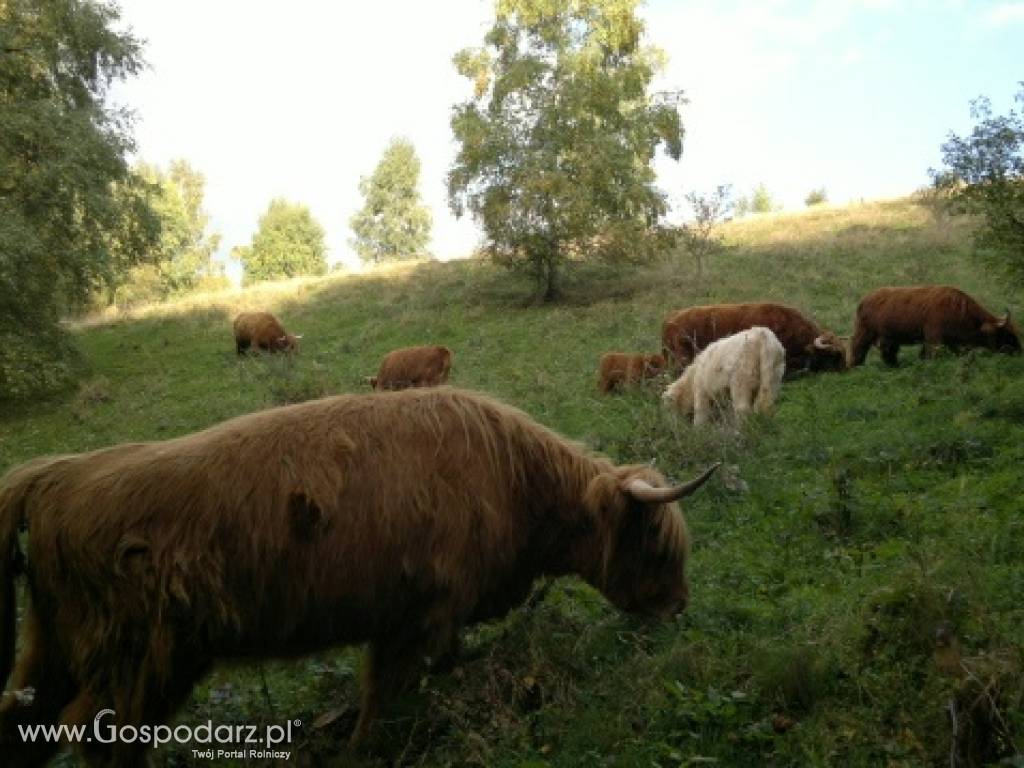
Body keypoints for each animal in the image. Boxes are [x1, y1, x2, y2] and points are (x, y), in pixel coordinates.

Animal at [0, 391, 720, 768]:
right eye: (654, 543)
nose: (679, 605)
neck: (515, 482)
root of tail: (55, 474)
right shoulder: (417, 616)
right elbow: (384, 698)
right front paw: (363, 748)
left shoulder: (419, 622)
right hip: (139, 655)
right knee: (98, 732)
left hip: (54, 644)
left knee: (27, 718)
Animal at [847, 286, 1015, 368]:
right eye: (1005, 333)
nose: (1017, 351)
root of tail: (864, 299)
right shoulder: (935, 338)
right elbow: (932, 355)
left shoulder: (950, 342)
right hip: (864, 333)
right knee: (858, 350)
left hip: (890, 339)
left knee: (889, 355)